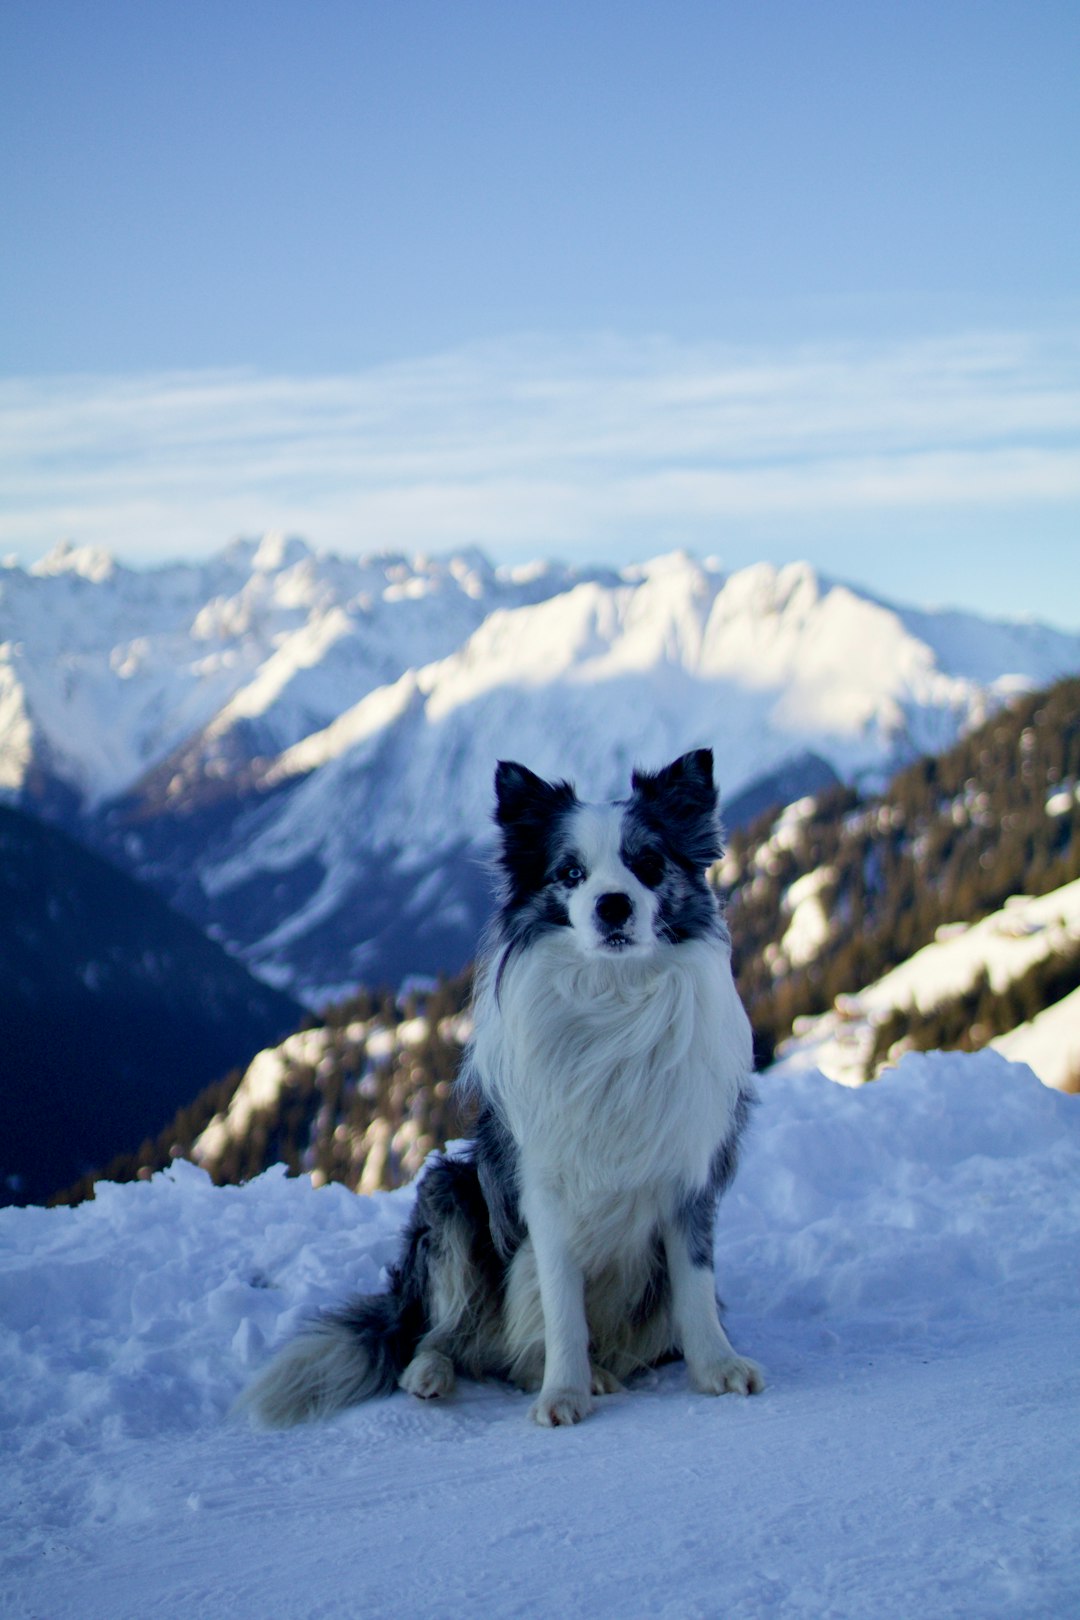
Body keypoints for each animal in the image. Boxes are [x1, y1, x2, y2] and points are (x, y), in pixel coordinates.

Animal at [242, 751, 767, 1425]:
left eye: (649, 865)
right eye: (570, 872)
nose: (613, 906)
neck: (615, 997)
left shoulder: (688, 1174)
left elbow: (696, 1288)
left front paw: (718, 1369)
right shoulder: (543, 1189)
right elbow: (562, 1307)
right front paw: (563, 1394)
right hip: (450, 1198)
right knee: (440, 1335)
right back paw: (439, 1374)